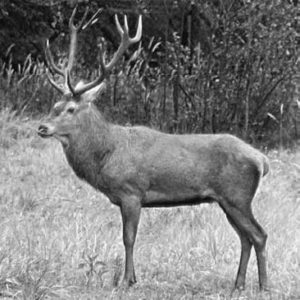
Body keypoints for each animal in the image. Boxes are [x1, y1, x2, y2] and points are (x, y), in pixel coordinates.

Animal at [37, 6, 270, 292]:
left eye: (71, 109)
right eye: (55, 105)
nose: (42, 127)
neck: (106, 155)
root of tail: (262, 160)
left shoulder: (131, 192)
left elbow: (128, 237)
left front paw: (127, 281)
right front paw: (131, 278)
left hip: (238, 195)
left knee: (259, 234)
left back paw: (264, 286)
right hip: (227, 201)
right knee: (245, 237)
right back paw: (238, 284)